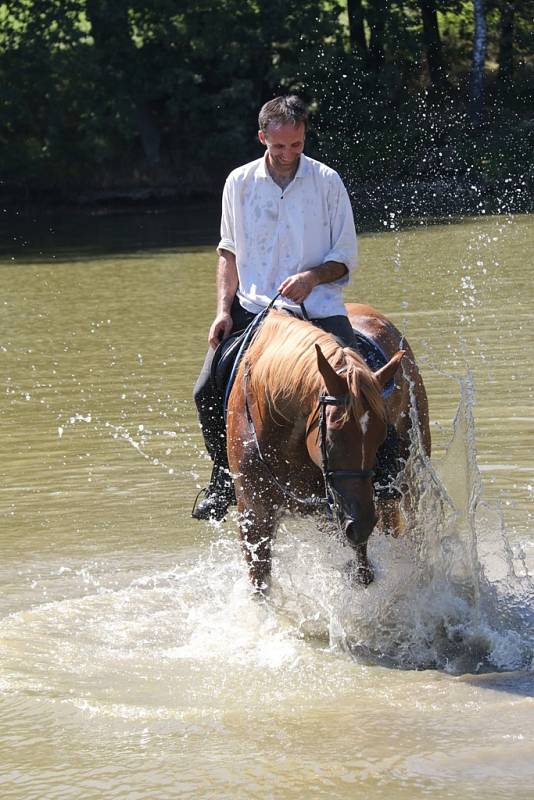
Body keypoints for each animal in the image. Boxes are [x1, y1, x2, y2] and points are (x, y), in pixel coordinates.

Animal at [226, 306, 432, 592]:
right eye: (332, 437)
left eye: (380, 436)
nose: (363, 523)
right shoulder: (254, 516)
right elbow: (260, 583)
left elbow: (361, 571)